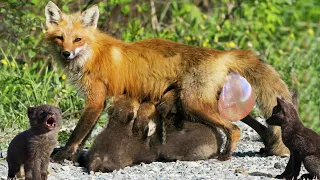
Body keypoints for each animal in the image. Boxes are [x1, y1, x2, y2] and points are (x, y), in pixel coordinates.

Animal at [45, 0, 292, 160]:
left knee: (234, 129)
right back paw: (268, 146)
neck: (93, 54)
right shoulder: (101, 100)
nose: (66, 54)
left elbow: (78, 133)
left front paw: (64, 154)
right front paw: (74, 154)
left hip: (193, 103)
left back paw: (225, 156)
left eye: (78, 39)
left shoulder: (96, 100)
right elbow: (86, 133)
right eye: (60, 38)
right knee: (254, 124)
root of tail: (220, 54)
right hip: (215, 103)